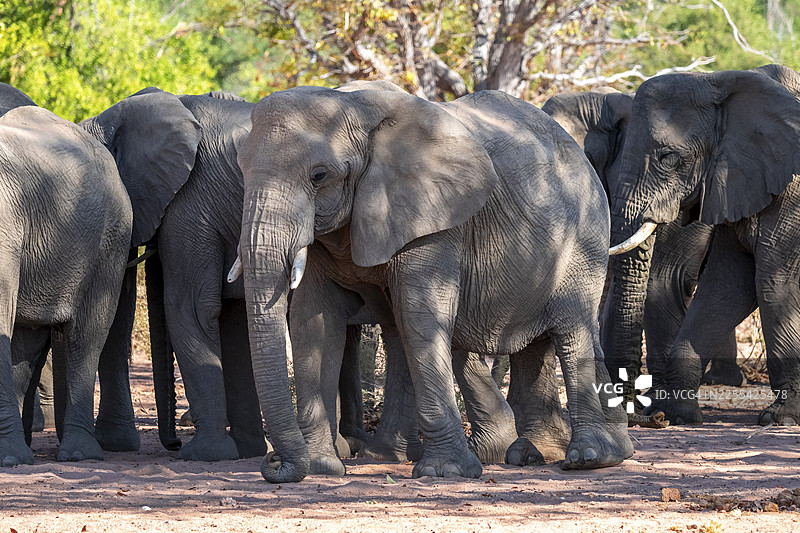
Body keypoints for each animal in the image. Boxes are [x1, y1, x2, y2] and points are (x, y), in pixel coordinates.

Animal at [235, 85, 633, 483]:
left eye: (319, 175)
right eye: (241, 169)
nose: (273, 462)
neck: (353, 105)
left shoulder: (434, 218)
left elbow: (419, 312)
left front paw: (444, 471)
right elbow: (314, 322)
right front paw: (323, 468)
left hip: (585, 237)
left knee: (571, 329)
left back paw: (591, 457)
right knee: (529, 344)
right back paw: (529, 453)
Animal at [608, 64, 800, 426]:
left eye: (669, 158)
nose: (646, 416)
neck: (721, 81)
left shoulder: (794, 194)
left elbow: (774, 283)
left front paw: (780, 418)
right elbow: (727, 285)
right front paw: (680, 413)